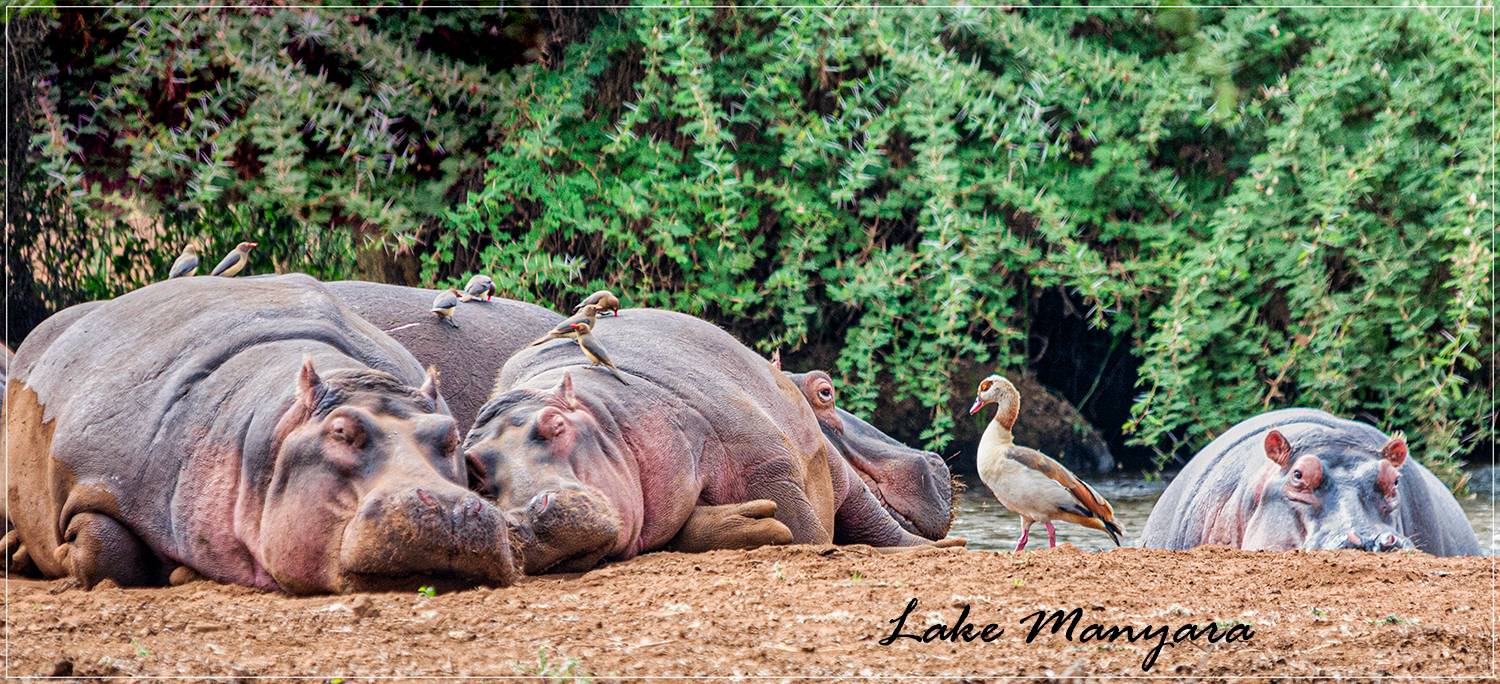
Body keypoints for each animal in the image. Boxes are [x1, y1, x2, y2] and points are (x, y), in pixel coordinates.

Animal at [2, 274, 522, 591]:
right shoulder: (95, 478)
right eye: (341, 431)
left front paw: (182, 575)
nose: (452, 507)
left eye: (451, 435)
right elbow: (101, 549)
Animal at [465, 309, 936, 573]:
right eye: (471, 467)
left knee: (876, 523)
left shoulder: (766, 465)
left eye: (555, 425)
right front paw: (752, 522)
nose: (525, 516)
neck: (606, 416)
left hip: (838, 475)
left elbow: (808, 533)